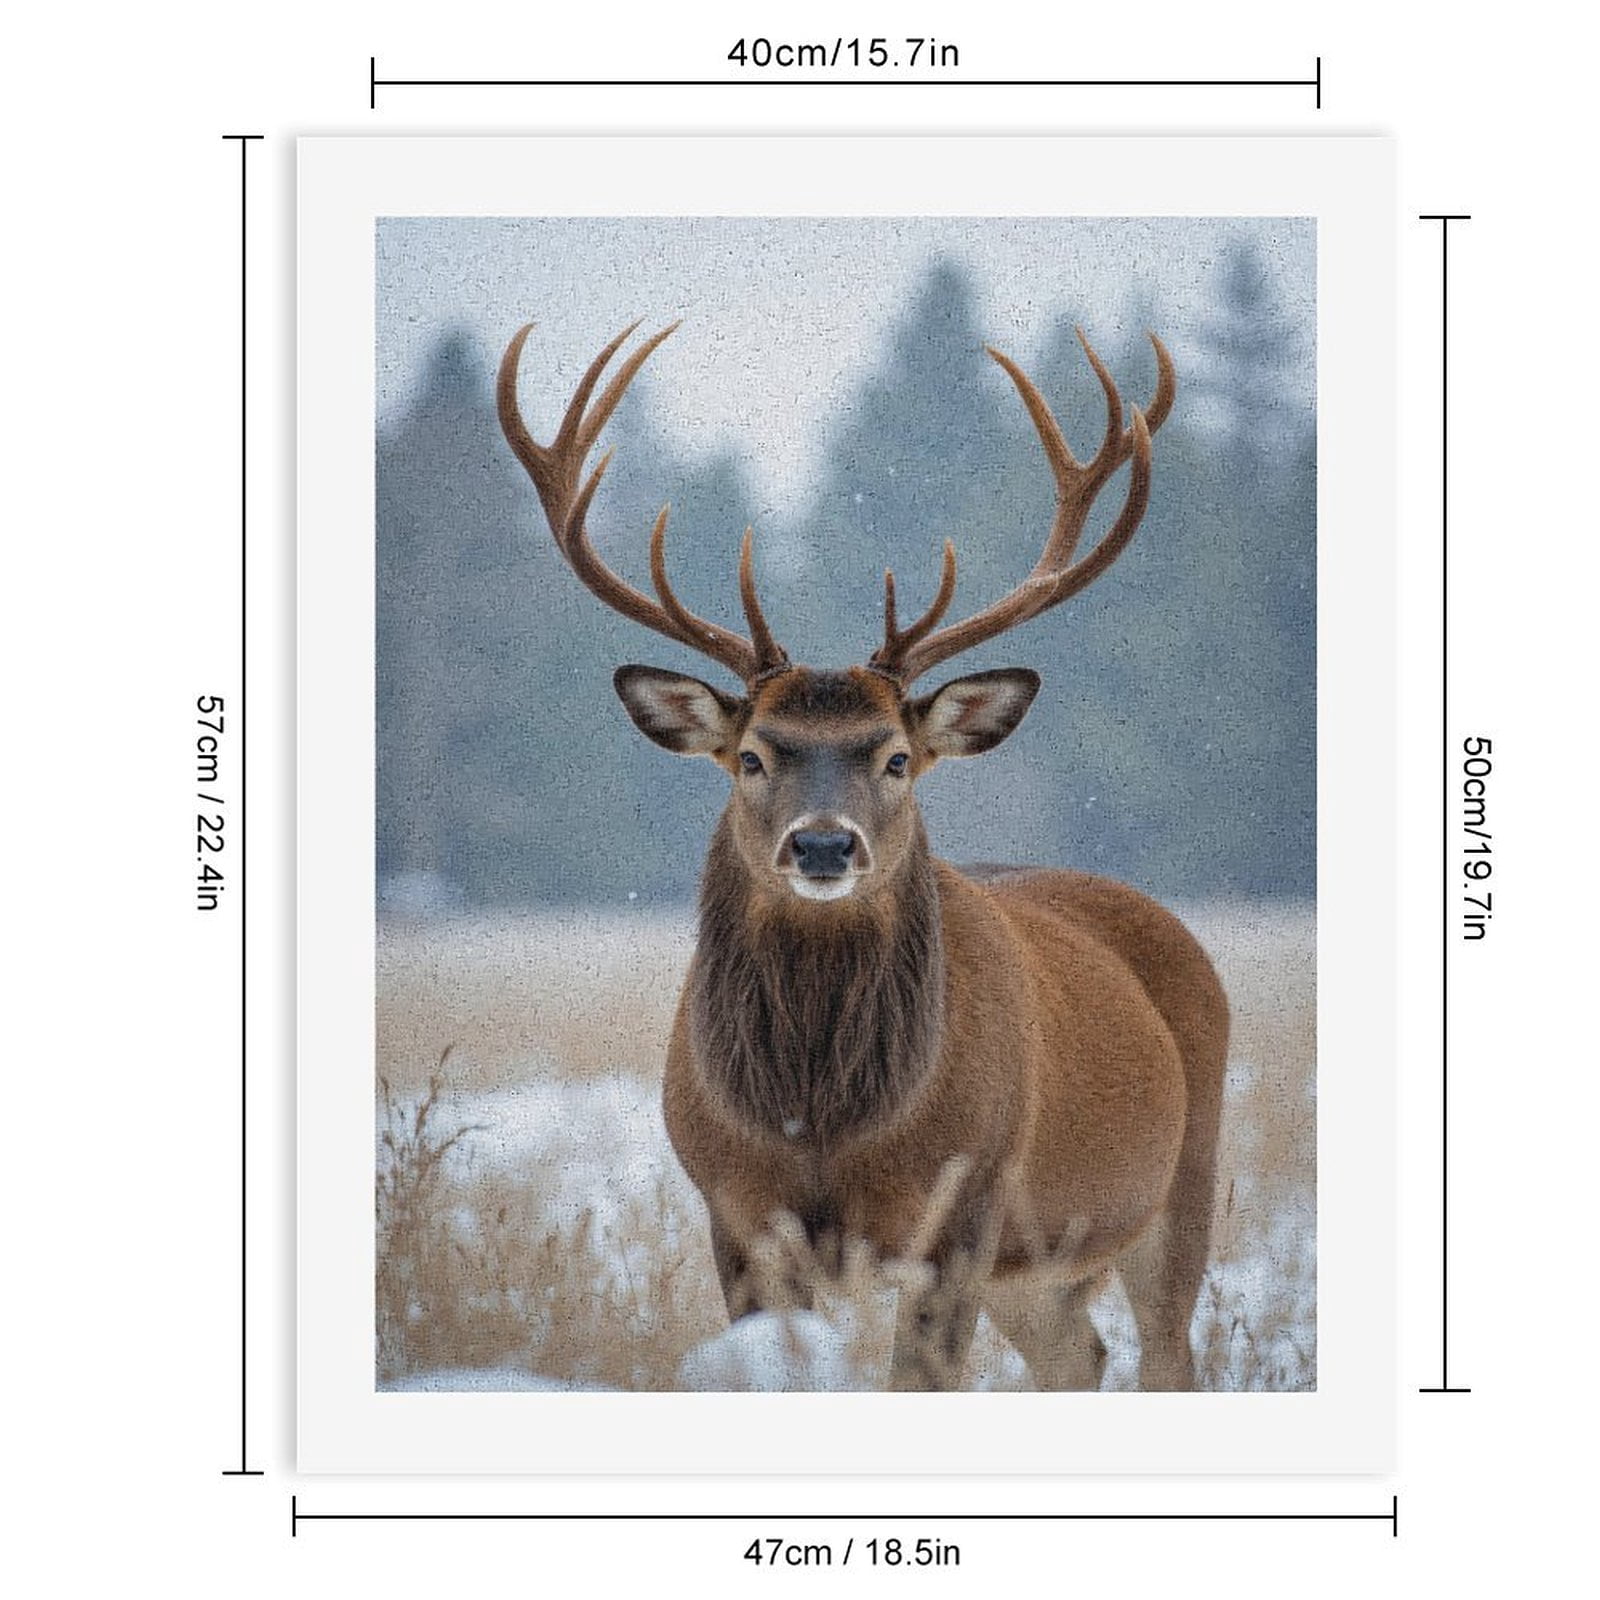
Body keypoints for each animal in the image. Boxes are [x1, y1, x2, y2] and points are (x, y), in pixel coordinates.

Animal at [496, 319, 1229, 1391]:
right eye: (752, 756)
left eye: (895, 757)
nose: (823, 842)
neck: (823, 1121)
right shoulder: (736, 1212)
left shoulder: (962, 1208)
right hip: (1039, 1261)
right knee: (1079, 1351)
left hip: (1179, 1181)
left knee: (1168, 1354)